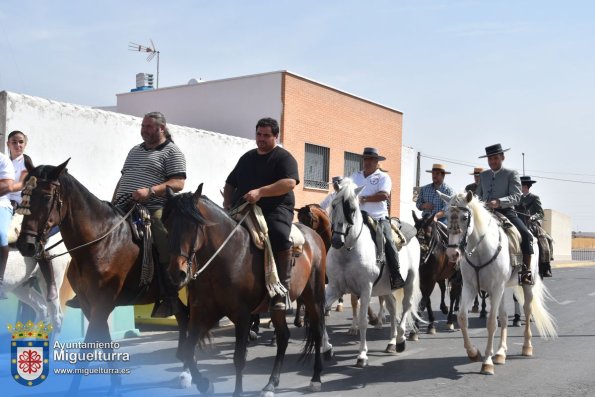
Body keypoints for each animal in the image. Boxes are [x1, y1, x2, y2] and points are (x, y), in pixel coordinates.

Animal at [16, 159, 189, 394]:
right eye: (23, 194)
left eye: (46, 196)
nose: (26, 245)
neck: (100, 242)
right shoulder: (89, 304)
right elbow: (103, 341)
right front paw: (115, 385)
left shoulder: (103, 302)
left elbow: (89, 347)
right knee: (184, 317)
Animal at [164, 186, 326, 396]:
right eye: (167, 224)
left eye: (193, 225)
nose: (177, 273)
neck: (226, 256)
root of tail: (314, 236)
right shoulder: (203, 311)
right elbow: (188, 350)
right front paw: (204, 384)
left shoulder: (242, 314)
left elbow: (239, 357)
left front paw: (237, 391)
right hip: (277, 308)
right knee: (283, 336)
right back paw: (271, 384)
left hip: (313, 297)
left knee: (317, 332)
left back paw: (316, 378)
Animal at [322, 178, 424, 366]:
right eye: (333, 205)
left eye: (352, 210)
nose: (337, 241)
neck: (348, 251)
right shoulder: (335, 288)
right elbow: (321, 312)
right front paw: (327, 348)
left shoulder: (365, 289)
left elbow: (363, 320)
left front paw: (362, 355)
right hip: (386, 288)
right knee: (392, 309)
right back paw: (391, 343)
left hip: (410, 281)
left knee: (405, 306)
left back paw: (400, 340)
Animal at [440, 192, 556, 374]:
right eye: (446, 214)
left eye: (465, 217)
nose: (453, 253)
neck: (480, 251)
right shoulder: (470, 287)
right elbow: (463, 317)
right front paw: (473, 353)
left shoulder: (495, 289)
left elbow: (491, 323)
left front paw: (487, 362)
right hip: (502, 288)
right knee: (503, 315)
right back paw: (501, 353)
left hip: (526, 284)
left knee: (527, 309)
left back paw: (526, 347)